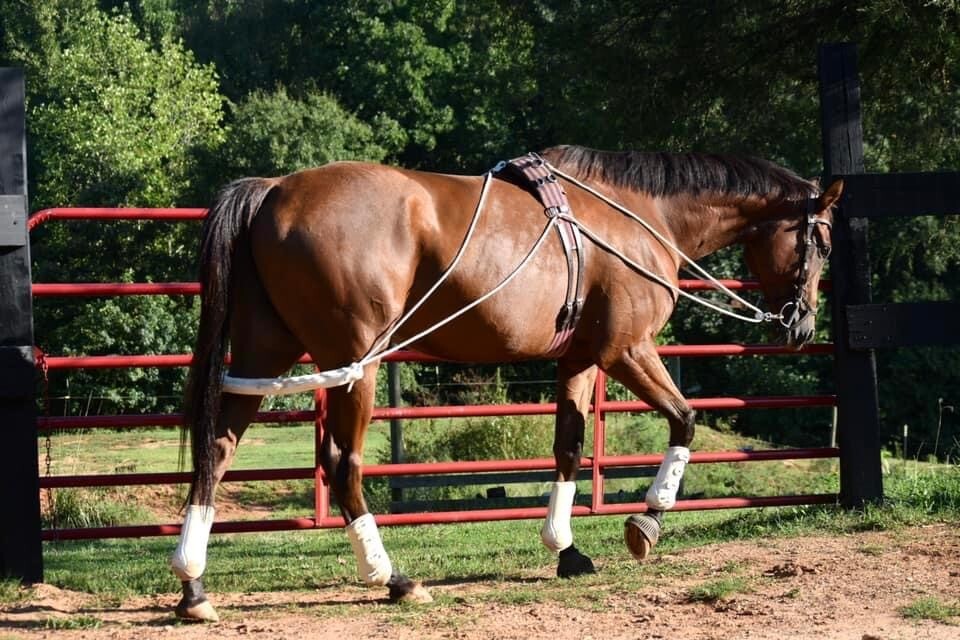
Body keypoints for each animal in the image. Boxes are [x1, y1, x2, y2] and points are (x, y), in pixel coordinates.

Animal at [170, 145, 840, 621]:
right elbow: (685, 419)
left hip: (265, 353)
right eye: (824, 241)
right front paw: (646, 523)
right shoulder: (626, 351)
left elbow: (569, 448)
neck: (642, 218)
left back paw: (194, 586)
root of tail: (274, 191)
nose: (803, 323)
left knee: (218, 448)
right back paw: (392, 578)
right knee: (343, 463)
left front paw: (566, 548)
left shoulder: (579, 361)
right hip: (355, 362)